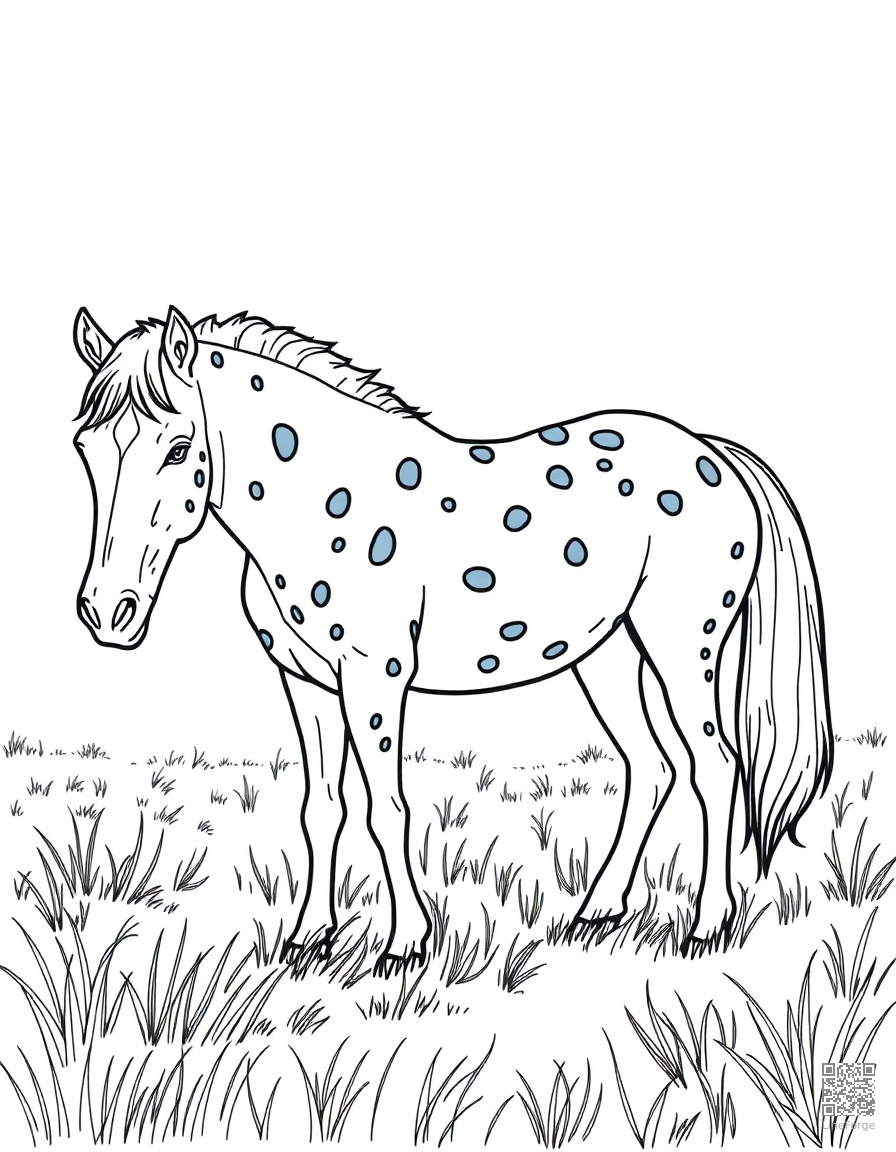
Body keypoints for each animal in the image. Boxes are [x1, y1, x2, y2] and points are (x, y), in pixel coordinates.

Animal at [72, 305, 833, 970]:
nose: (108, 613)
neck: (317, 501)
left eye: (178, 448)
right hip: (608, 654)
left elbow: (387, 809)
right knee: (653, 767)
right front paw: (309, 937)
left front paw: (405, 944)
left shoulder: (374, 678)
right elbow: (321, 808)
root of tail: (712, 452)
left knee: (715, 765)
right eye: (85, 447)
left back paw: (708, 925)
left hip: (682, 649)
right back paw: (596, 912)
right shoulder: (307, 682)